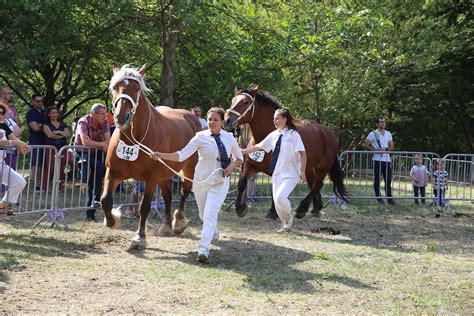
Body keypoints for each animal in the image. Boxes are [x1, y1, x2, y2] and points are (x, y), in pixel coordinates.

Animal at [101, 64, 201, 251]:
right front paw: (113, 220)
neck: (133, 139)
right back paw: (167, 226)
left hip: (189, 169)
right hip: (164, 175)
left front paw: (139, 238)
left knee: (184, 191)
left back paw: (178, 223)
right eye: (114, 87)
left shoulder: (151, 178)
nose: (121, 117)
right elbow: (105, 200)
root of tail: (193, 117)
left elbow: (144, 207)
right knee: (168, 195)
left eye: (137, 89)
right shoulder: (113, 172)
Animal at [222, 86, 348, 220]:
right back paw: (315, 209)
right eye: (233, 100)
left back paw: (302, 209)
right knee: (313, 184)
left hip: (322, 167)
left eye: (245, 102)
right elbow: (241, 183)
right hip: (307, 168)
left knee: (317, 184)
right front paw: (241, 208)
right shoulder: (250, 165)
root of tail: (329, 133)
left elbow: (276, 191)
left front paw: (273, 212)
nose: (227, 120)